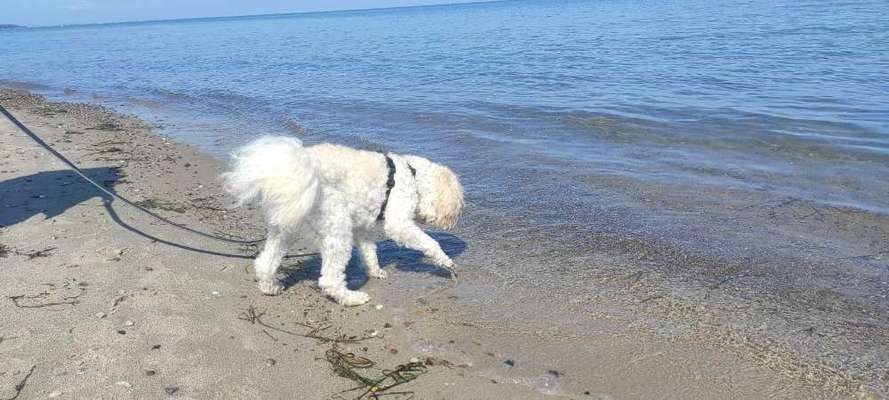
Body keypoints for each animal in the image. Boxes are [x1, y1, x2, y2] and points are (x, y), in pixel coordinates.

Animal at [220, 136, 464, 304]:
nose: (451, 223)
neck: (411, 174)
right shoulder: (398, 223)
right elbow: (429, 242)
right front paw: (445, 260)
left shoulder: (363, 229)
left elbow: (369, 252)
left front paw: (375, 271)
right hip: (337, 228)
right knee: (328, 279)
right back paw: (351, 298)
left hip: (286, 226)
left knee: (265, 261)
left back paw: (269, 286)